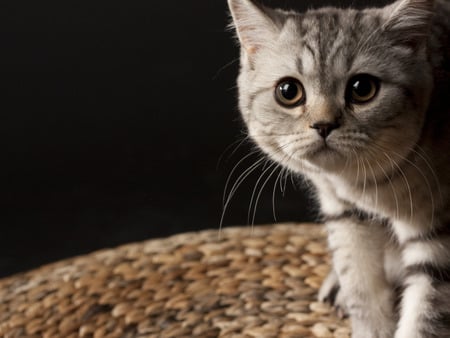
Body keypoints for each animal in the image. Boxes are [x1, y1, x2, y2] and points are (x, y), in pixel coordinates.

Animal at [229, 0, 450, 336]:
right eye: (288, 91)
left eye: (362, 88)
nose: (323, 125)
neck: (368, 185)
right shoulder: (346, 215)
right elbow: (361, 289)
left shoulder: (440, 239)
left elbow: (424, 318)